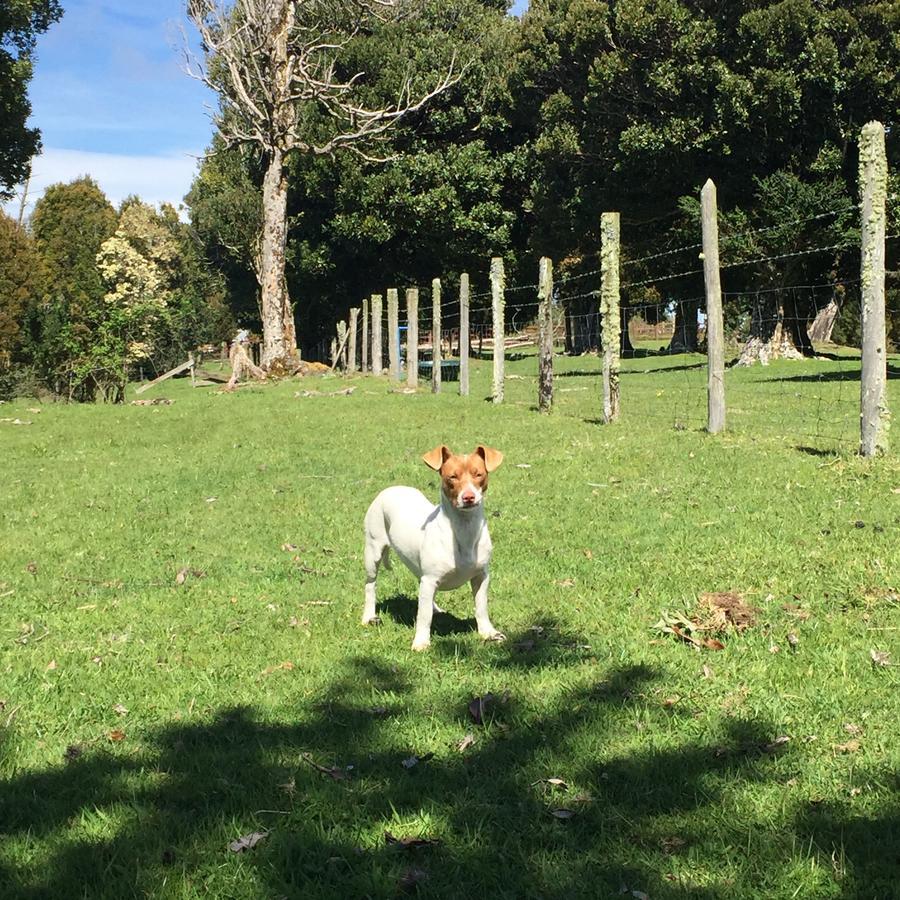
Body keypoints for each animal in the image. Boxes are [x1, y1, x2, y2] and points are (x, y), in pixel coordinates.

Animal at [366, 444, 506, 652]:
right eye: (452, 477)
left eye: (479, 474)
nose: (469, 497)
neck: (464, 529)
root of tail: (391, 488)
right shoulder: (430, 579)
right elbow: (423, 616)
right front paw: (421, 642)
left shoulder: (481, 576)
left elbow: (481, 606)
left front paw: (488, 633)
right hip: (373, 551)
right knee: (370, 585)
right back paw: (368, 616)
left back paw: (436, 608)